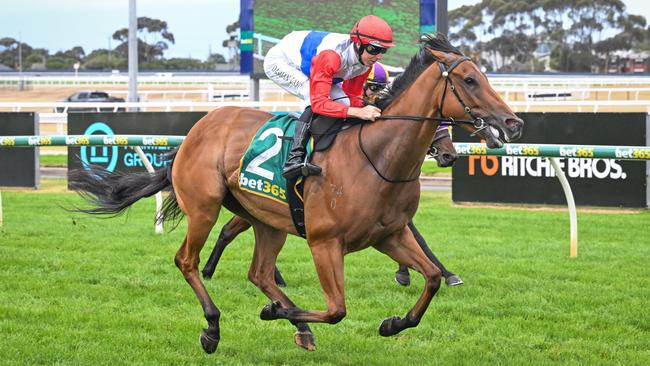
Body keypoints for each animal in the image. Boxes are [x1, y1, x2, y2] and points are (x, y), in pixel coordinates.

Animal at [201, 125, 460, 286]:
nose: (450, 156)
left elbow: (415, 238)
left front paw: (441, 274)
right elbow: (417, 237)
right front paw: (417, 273)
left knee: (236, 230)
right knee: (232, 231)